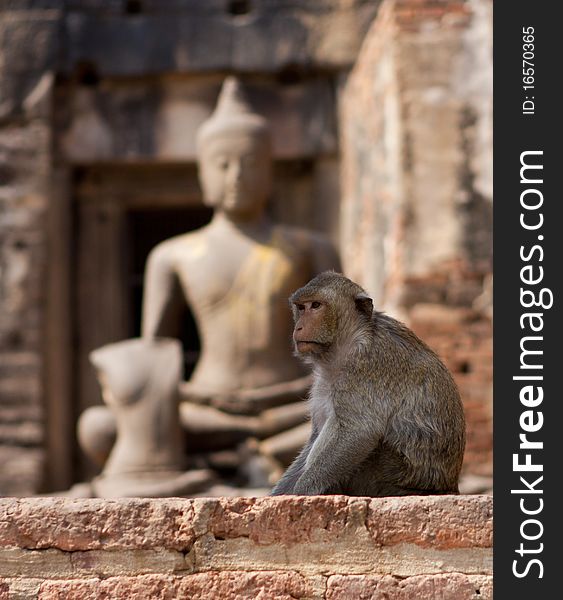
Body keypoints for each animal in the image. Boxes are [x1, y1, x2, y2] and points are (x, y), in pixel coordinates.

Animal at [270, 272, 464, 496]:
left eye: (316, 305)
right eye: (301, 308)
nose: (299, 327)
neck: (347, 343)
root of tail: (448, 487)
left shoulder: (366, 366)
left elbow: (359, 431)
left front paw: (301, 492)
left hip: (388, 476)